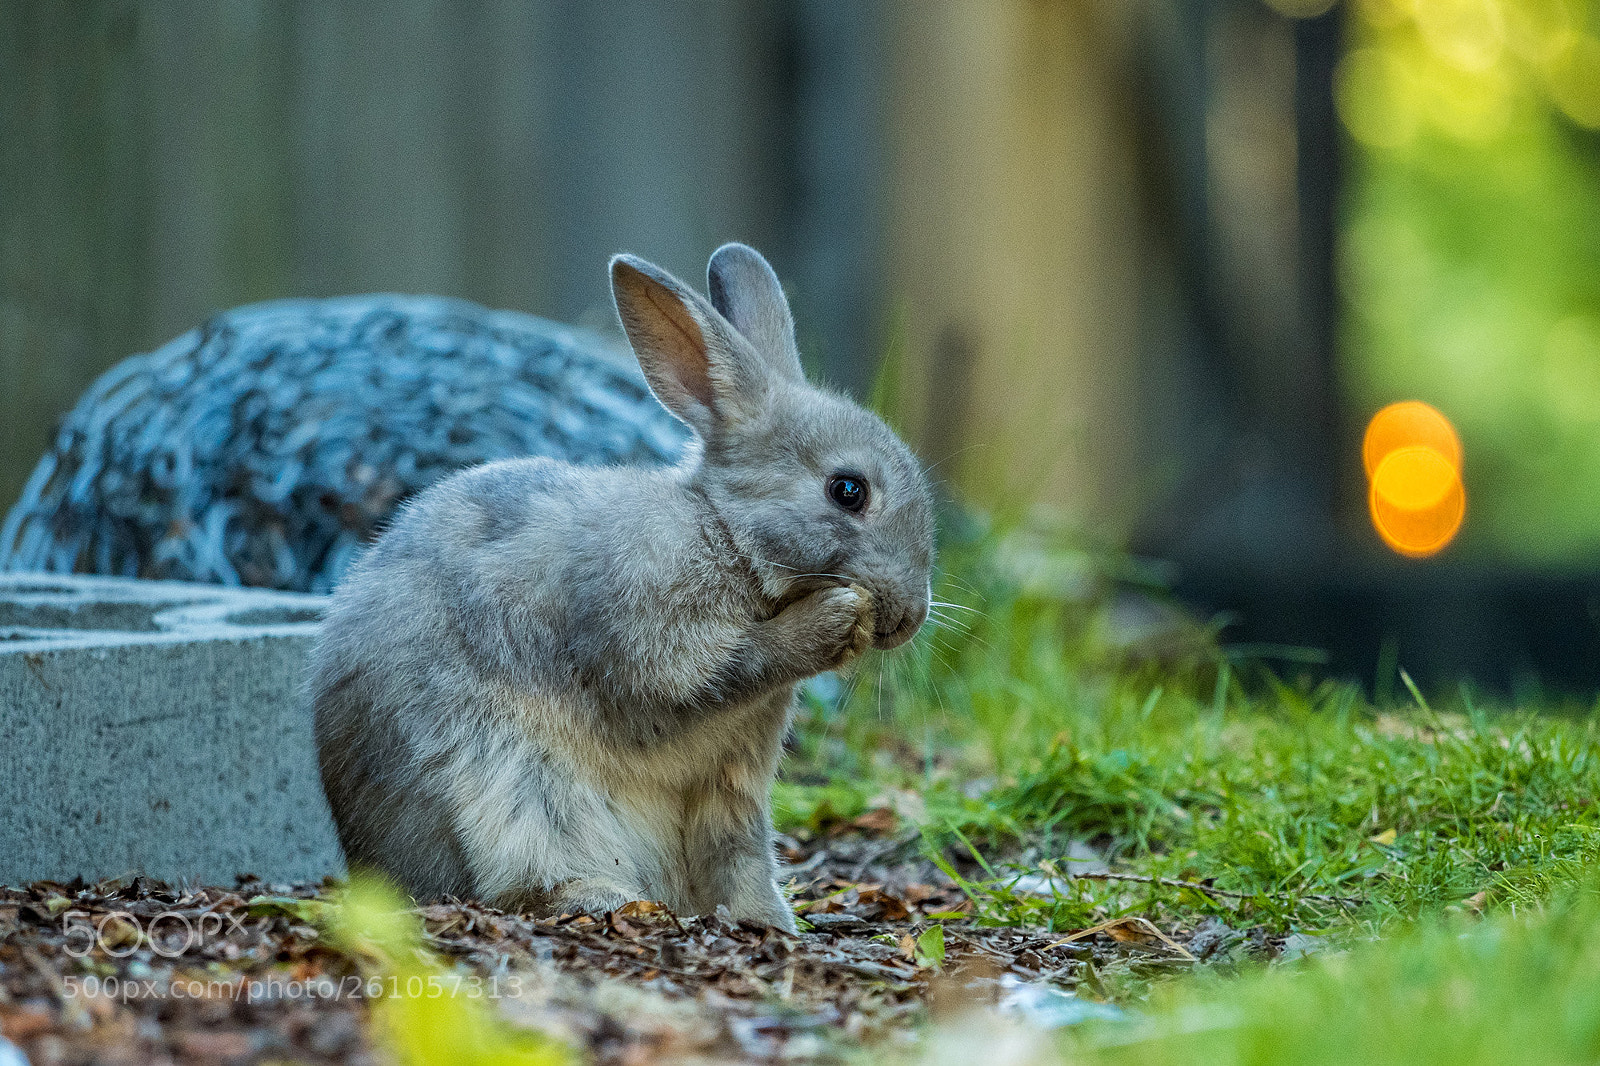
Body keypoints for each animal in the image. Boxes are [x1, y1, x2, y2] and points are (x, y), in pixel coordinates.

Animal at [309, 243, 934, 931]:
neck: (724, 533)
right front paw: (836, 615)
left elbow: (736, 862)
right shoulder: (650, 647)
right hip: (505, 786)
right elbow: (721, 671)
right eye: (848, 490)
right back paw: (600, 899)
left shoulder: (732, 786)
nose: (909, 615)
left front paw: (767, 923)